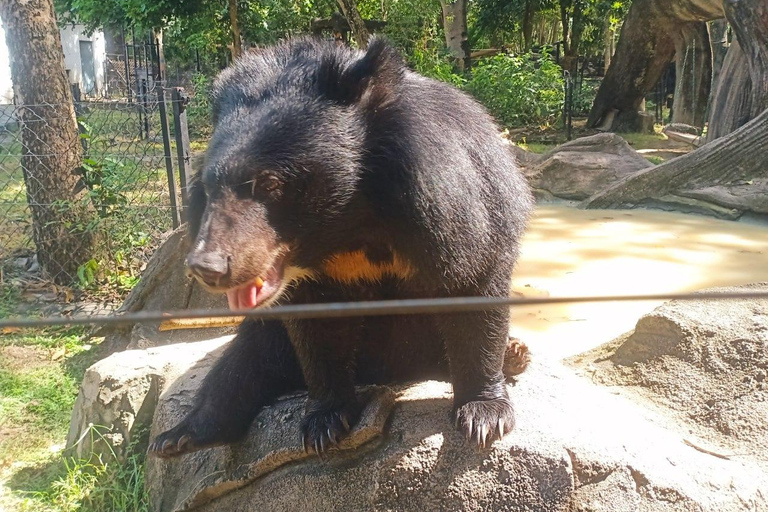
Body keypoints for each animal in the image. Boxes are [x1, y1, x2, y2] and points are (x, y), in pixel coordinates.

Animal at [150, 38, 536, 458]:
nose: (208, 267)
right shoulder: (312, 281)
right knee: (240, 367)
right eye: (208, 188)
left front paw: (484, 418)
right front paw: (324, 423)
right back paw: (179, 436)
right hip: (269, 337)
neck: (346, 225)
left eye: (269, 184)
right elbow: (318, 332)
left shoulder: (457, 205)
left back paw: (515, 354)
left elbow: (473, 284)